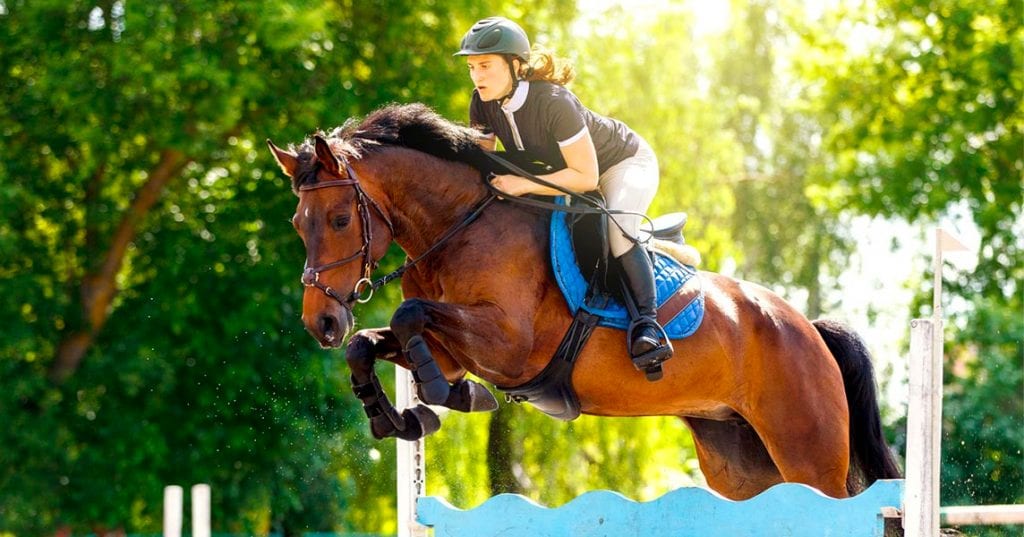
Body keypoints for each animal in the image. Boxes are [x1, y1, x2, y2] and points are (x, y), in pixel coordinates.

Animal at [268, 104, 901, 500]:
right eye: (299, 223)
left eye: (341, 218)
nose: (322, 322)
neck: (457, 227)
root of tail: (809, 329)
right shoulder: (452, 347)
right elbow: (370, 344)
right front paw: (397, 415)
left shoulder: (508, 345)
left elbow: (408, 317)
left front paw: (451, 399)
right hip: (743, 464)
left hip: (807, 450)